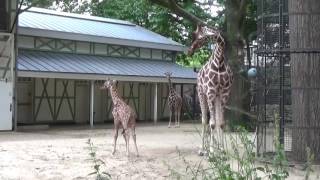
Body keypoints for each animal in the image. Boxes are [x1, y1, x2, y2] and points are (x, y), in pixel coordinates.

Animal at [189, 25, 234, 155]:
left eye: (199, 37)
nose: (190, 51)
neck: (219, 63)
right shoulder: (210, 91)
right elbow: (212, 123)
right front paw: (212, 152)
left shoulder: (224, 93)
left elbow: (221, 123)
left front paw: (221, 150)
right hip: (201, 94)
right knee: (204, 120)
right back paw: (202, 150)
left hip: (217, 97)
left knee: (213, 119)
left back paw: (216, 148)